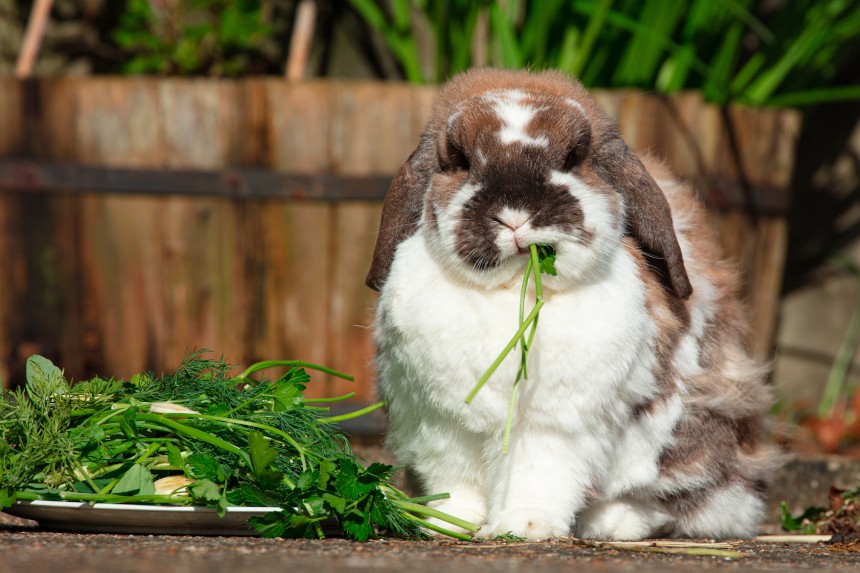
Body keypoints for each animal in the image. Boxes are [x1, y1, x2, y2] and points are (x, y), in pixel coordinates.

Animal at [364, 68, 780, 540]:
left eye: (572, 157)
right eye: (461, 159)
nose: (514, 215)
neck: (514, 294)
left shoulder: (552, 428)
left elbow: (536, 479)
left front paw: (523, 527)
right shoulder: (443, 426)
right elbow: (457, 484)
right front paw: (446, 524)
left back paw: (614, 524)